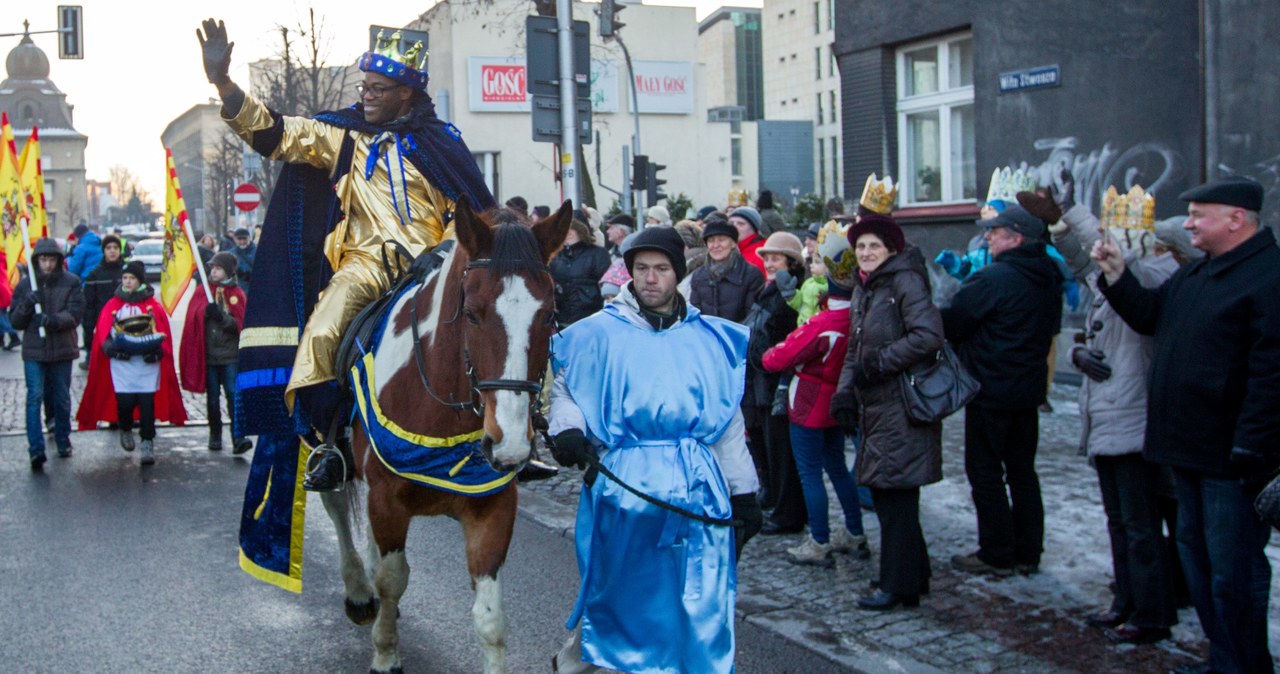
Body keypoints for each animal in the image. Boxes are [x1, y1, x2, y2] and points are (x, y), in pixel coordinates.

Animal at [322, 202, 573, 674]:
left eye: (549, 315)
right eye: (472, 312)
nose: (510, 445)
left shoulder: (493, 507)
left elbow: (490, 619)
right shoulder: (387, 500)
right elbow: (393, 580)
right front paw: (386, 654)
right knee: (337, 508)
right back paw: (358, 591)